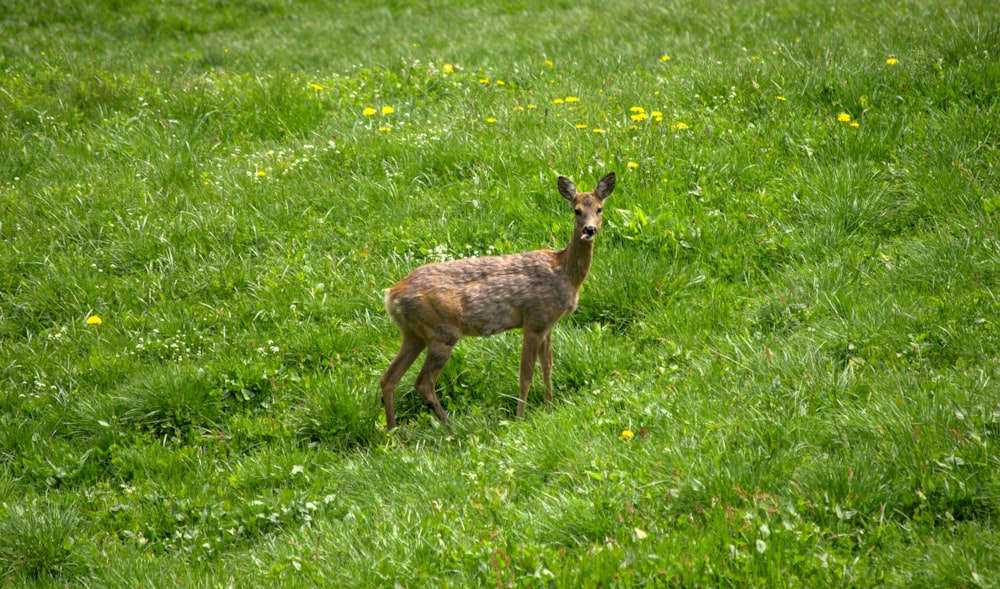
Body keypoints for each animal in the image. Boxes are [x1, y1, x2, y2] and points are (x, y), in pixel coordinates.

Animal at [380, 172, 616, 430]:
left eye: (599, 208)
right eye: (577, 210)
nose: (589, 229)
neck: (564, 272)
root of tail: (391, 295)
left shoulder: (548, 325)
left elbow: (548, 367)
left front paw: (549, 407)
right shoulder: (534, 321)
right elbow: (526, 375)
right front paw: (520, 418)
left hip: (413, 334)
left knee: (388, 379)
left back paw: (394, 432)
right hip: (442, 331)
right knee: (423, 382)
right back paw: (450, 426)